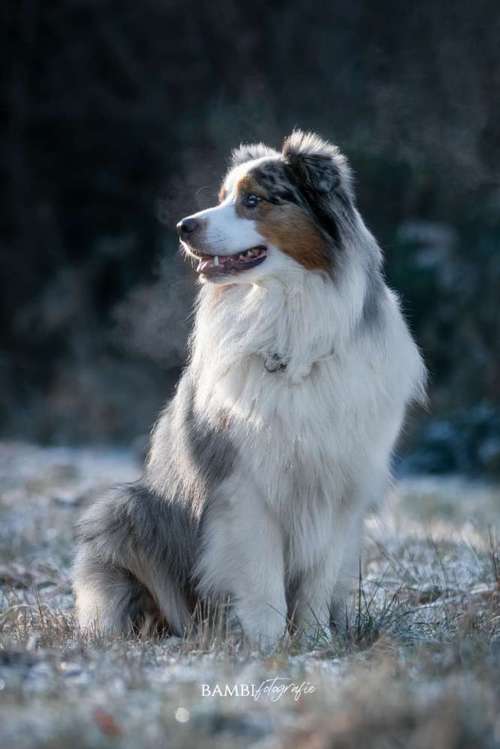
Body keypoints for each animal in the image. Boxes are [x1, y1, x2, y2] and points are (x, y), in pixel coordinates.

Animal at [73, 131, 426, 644]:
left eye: (253, 201)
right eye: (221, 198)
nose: (183, 226)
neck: (291, 327)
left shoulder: (339, 487)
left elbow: (317, 580)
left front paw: (315, 644)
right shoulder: (246, 487)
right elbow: (260, 578)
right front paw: (266, 644)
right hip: (123, 509)